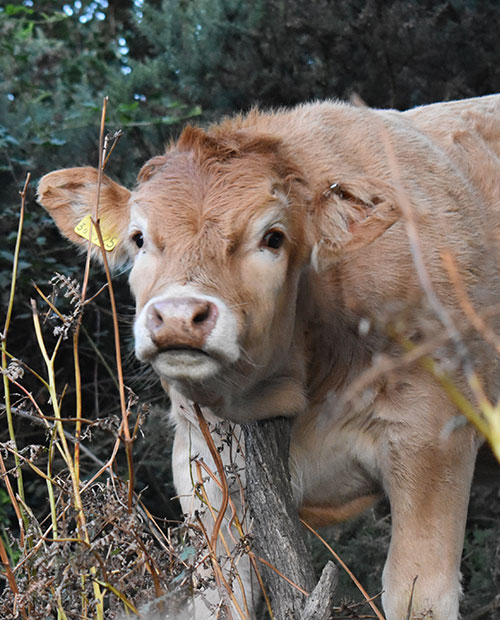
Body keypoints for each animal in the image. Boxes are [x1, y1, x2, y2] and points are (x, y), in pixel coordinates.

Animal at [38, 94, 500, 616]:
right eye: (139, 238)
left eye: (273, 237)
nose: (177, 315)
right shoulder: (202, 469)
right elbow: (222, 594)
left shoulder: (433, 441)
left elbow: (417, 595)